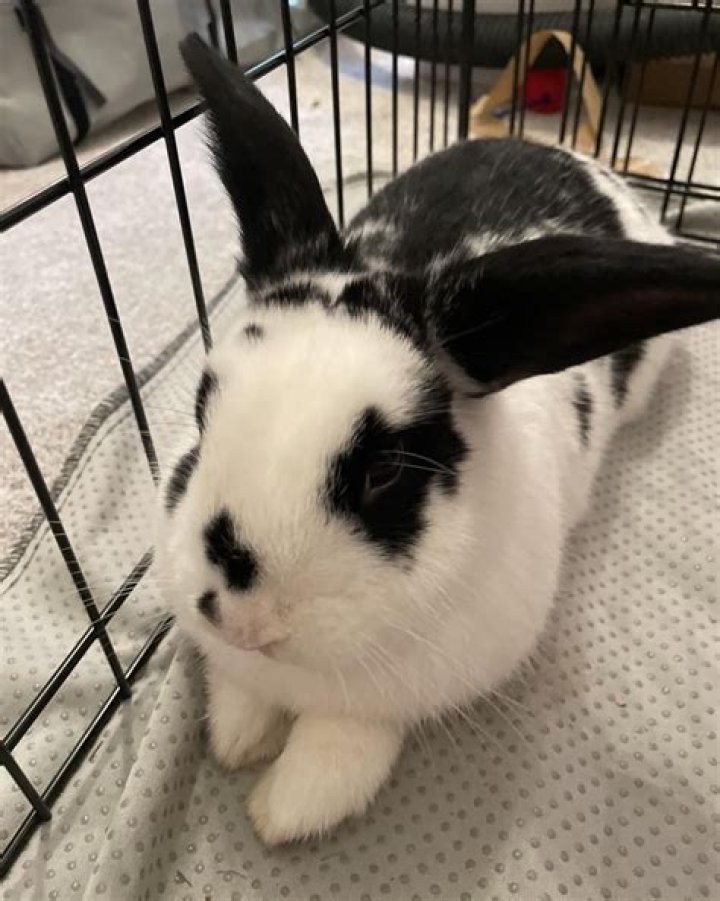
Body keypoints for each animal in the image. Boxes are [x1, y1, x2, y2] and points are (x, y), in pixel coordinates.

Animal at [153, 34, 720, 846]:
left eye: (385, 472)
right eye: (203, 413)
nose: (240, 620)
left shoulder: (393, 697)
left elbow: (346, 739)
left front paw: (286, 808)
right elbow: (239, 692)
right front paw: (237, 736)